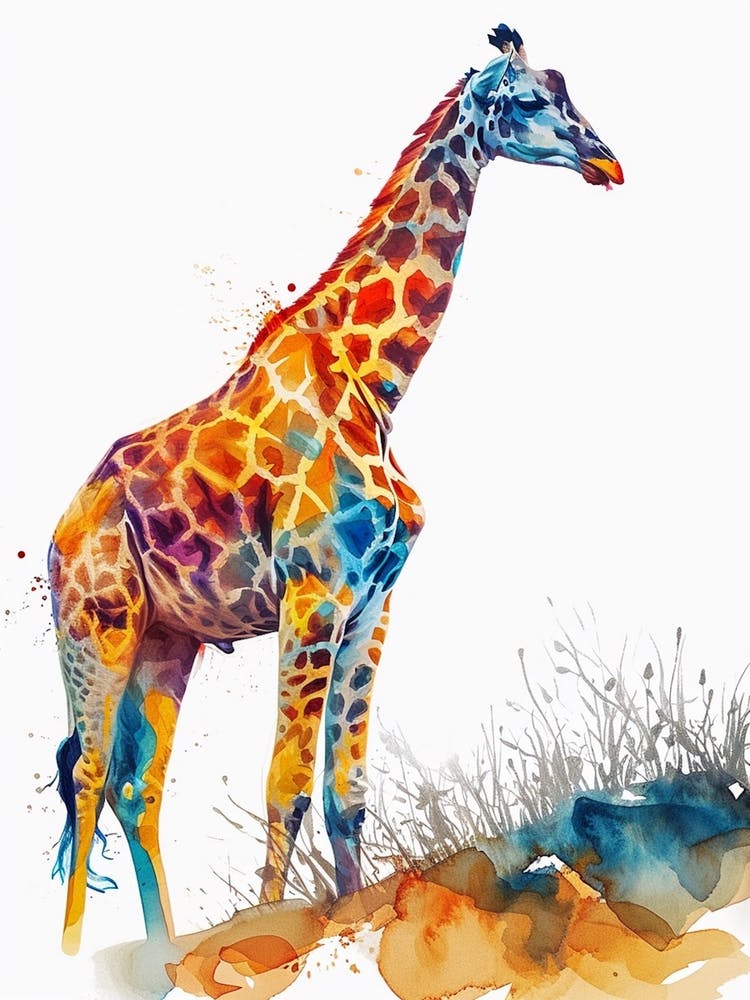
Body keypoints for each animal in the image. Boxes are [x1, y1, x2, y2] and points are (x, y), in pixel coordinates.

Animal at [49, 24, 622, 955]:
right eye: (532, 99)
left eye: (569, 88)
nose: (608, 162)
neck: (378, 379)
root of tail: (58, 533)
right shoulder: (312, 594)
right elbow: (284, 786)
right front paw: (276, 933)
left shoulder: (372, 603)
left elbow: (345, 792)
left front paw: (352, 921)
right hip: (97, 628)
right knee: (91, 778)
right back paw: (73, 958)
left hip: (168, 643)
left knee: (136, 790)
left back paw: (161, 950)